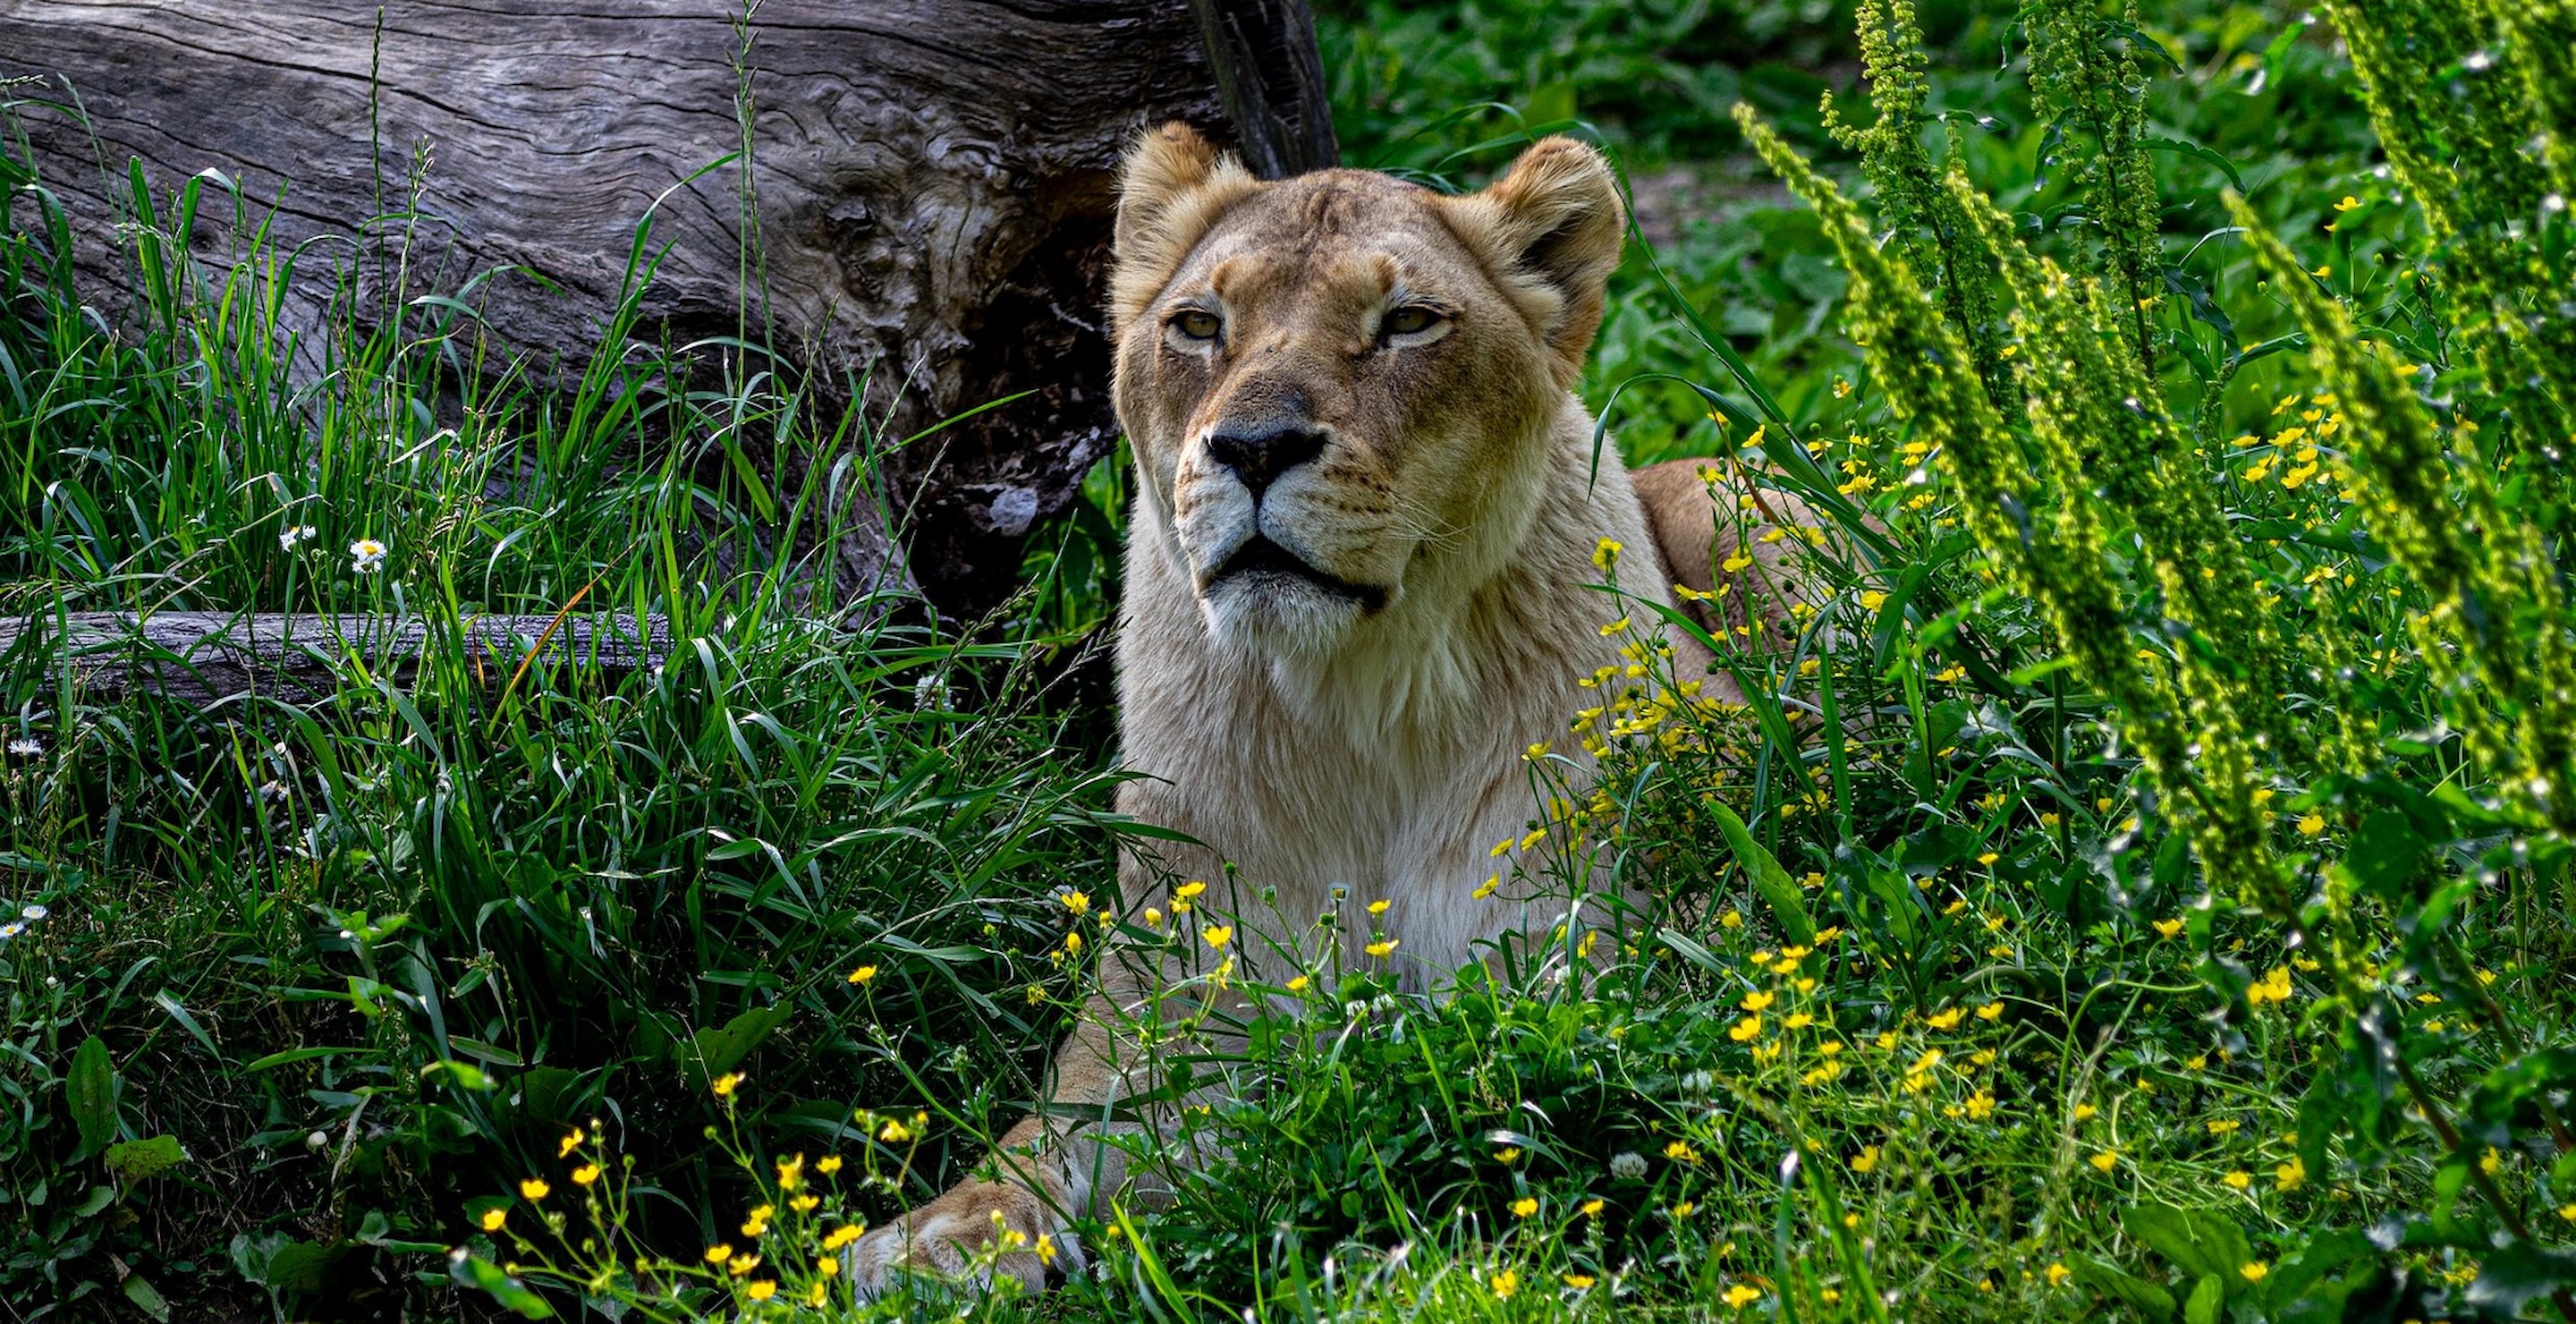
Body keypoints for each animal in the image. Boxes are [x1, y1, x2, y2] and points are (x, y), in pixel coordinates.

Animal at [846, 123, 1810, 1295]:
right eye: (1198, 325)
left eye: (1406, 323)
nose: (1254, 447)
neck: (1356, 709)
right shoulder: (1168, 1004)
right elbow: (1054, 1133)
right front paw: (940, 1236)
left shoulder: (1612, 952)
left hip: (1739, 511)